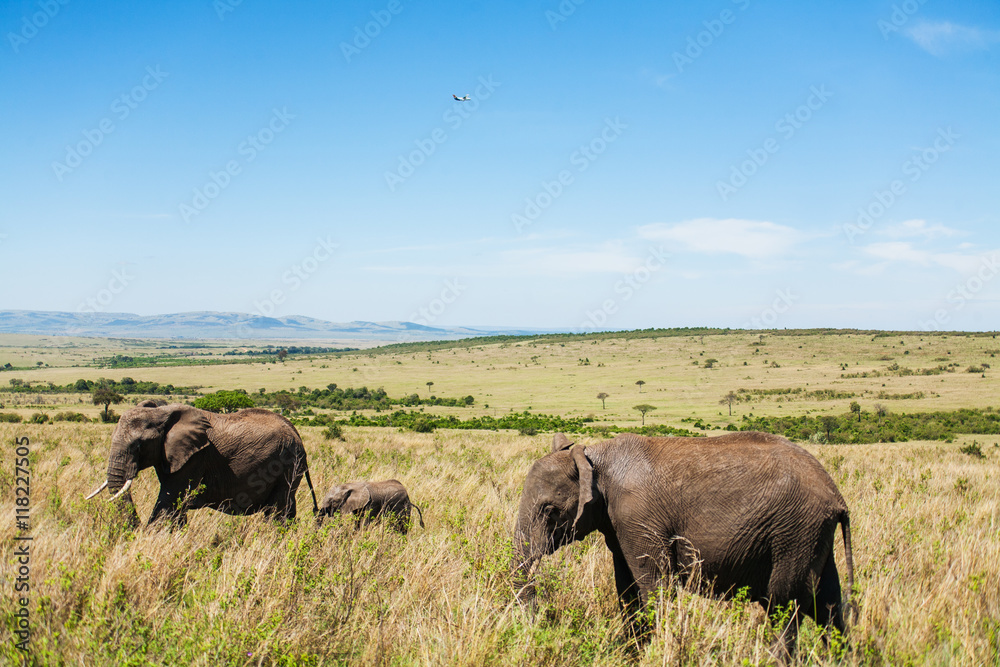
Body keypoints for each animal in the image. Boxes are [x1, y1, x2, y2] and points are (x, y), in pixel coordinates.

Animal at [85, 400, 318, 527]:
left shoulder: (195, 458)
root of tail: (294, 430)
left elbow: (168, 503)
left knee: (277, 512)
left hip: (287, 465)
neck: (162, 412)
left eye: (138, 446)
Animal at [513, 432, 854, 658]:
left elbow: (655, 586)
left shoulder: (638, 518)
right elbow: (626, 589)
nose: (539, 624)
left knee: (784, 604)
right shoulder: (618, 523)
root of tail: (837, 497)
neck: (593, 455)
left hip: (794, 532)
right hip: (812, 535)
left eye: (548, 510)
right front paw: (633, 655)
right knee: (829, 606)